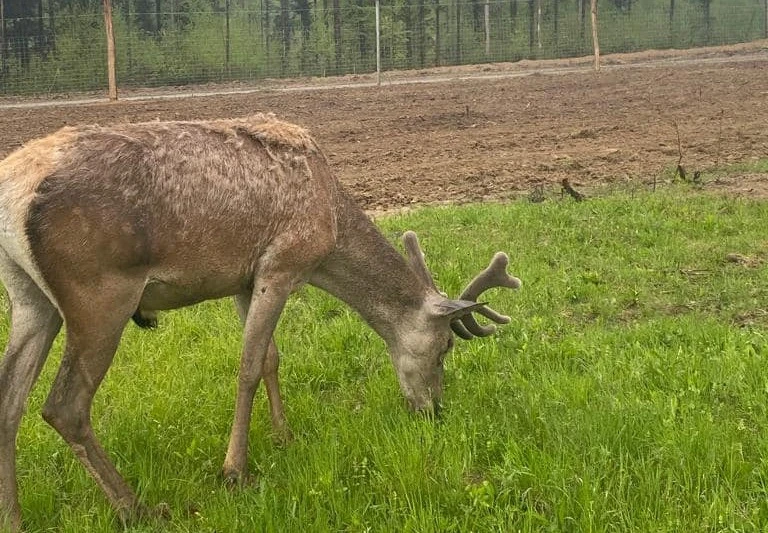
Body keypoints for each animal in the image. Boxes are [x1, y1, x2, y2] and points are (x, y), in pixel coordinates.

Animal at [0, 113, 520, 531]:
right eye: (444, 348)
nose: (434, 411)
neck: (331, 226)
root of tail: (11, 191)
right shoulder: (281, 265)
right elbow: (249, 366)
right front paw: (235, 470)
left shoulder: (243, 280)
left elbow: (271, 358)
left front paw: (284, 436)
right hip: (100, 293)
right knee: (64, 406)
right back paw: (137, 508)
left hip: (29, 297)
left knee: (10, 399)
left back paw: (14, 515)